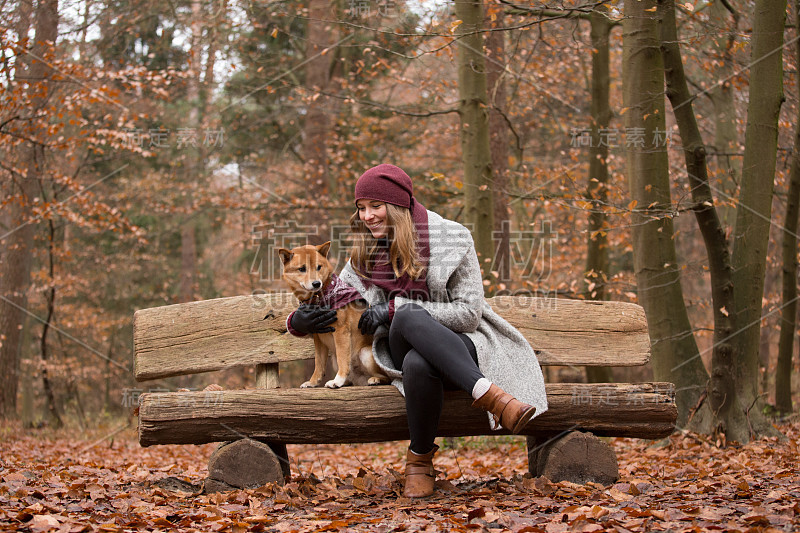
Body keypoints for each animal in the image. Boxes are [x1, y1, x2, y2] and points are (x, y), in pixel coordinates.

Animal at [278, 241, 390, 386]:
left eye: (319, 267)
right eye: (302, 269)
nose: (316, 283)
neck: (319, 298)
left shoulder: (341, 332)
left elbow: (343, 360)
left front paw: (338, 381)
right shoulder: (318, 336)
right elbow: (319, 363)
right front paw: (313, 382)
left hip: (365, 353)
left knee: (387, 377)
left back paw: (375, 379)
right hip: (334, 360)